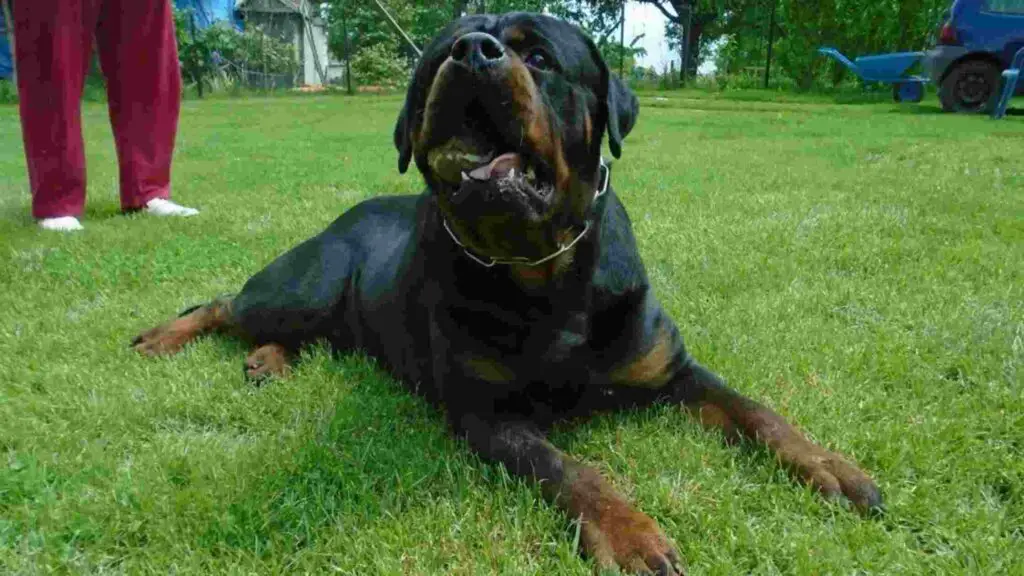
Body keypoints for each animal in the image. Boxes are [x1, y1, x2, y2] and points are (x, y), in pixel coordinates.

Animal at [134, 13, 880, 573]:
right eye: (440, 57)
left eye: (540, 57)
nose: (470, 52)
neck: (542, 270)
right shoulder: (489, 414)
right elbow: (571, 468)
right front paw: (631, 533)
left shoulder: (674, 368)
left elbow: (759, 412)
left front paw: (830, 466)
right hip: (306, 284)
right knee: (223, 303)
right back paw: (163, 338)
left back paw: (266, 360)